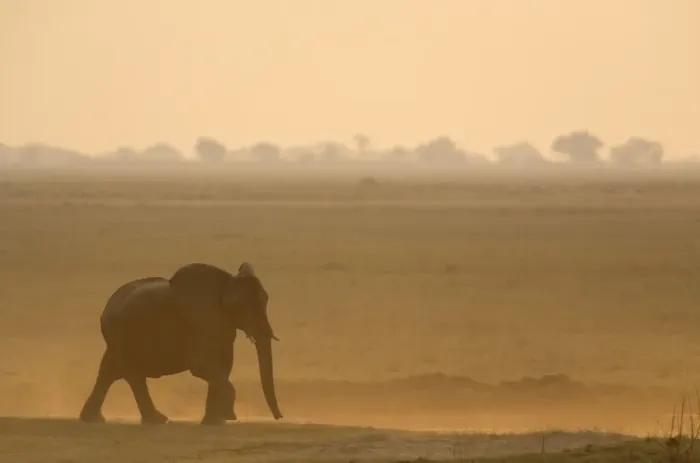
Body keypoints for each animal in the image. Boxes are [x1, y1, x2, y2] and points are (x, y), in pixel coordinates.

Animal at [78, 262, 283, 425]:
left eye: (265, 301)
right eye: (239, 304)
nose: (279, 417)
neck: (226, 282)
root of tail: (107, 305)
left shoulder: (222, 328)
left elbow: (223, 365)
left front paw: (214, 422)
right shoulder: (202, 320)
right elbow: (200, 365)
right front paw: (228, 416)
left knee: (110, 372)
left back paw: (95, 419)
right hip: (121, 334)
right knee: (130, 374)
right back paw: (157, 420)